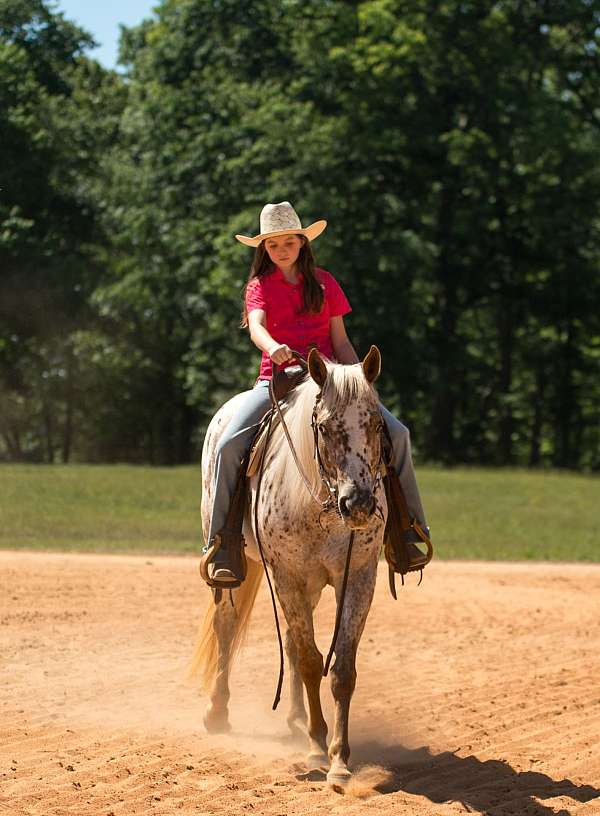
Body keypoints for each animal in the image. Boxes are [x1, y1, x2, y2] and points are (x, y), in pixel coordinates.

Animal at [191, 346, 386, 790]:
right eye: (325, 427)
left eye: (376, 424)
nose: (359, 504)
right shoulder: (286, 575)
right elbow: (313, 661)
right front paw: (317, 747)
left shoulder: (358, 577)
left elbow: (340, 669)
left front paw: (340, 760)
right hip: (237, 570)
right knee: (227, 626)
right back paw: (217, 712)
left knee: (297, 644)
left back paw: (297, 716)